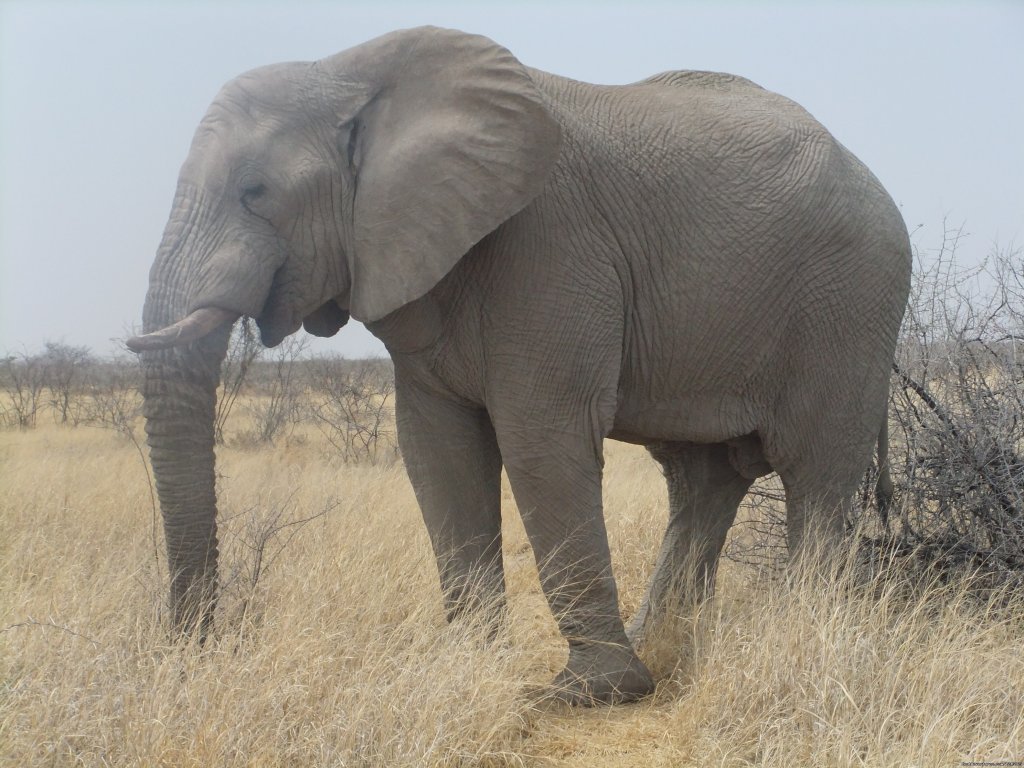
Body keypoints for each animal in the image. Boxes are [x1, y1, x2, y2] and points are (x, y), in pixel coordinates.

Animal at [130, 27, 913, 708]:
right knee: (702, 478)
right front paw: (464, 667)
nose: (198, 648)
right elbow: (437, 452)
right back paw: (663, 641)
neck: (351, 72)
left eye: (255, 193)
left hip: (849, 305)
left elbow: (541, 442)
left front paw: (585, 695)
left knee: (815, 473)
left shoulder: (552, 246)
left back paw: (795, 638)